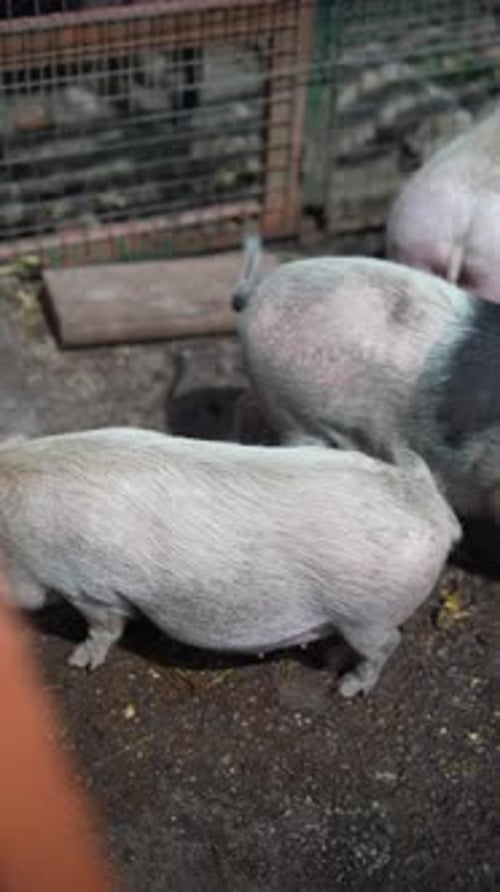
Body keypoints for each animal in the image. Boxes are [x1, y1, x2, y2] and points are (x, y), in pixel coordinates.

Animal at [0, 428, 460, 697]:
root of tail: (433, 506)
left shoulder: (89, 588)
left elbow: (103, 628)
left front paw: (78, 663)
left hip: (368, 616)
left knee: (388, 644)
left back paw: (346, 688)